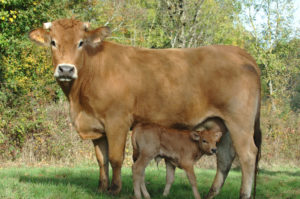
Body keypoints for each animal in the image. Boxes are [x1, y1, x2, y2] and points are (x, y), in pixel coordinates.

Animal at [29, 17, 262, 198]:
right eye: (53, 42)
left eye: (80, 43)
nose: (66, 69)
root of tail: (238, 52)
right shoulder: (96, 124)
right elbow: (101, 159)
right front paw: (102, 188)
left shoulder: (117, 120)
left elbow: (115, 158)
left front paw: (115, 189)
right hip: (222, 124)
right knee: (225, 157)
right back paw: (211, 194)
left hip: (240, 122)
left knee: (248, 155)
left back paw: (244, 194)